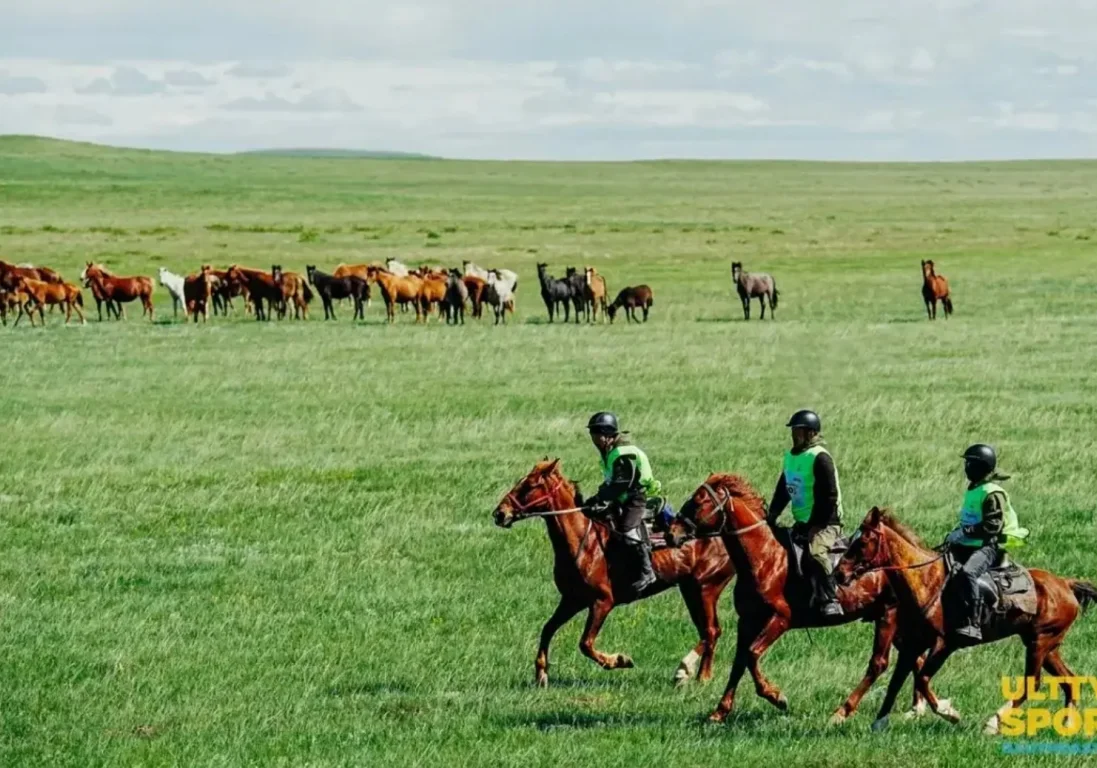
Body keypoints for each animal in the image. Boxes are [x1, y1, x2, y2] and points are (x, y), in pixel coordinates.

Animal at [495, 458, 737, 689]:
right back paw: (700, 675)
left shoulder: (602, 602)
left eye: (529, 486)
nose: (499, 513)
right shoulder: (572, 600)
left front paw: (619, 660)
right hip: (691, 591)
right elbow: (548, 629)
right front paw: (541, 674)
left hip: (705, 588)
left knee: (711, 631)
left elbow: (585, 644)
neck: (584, 541)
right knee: (709, 631)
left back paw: (688, 672)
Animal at [662, 473, 930, 724]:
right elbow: (739, 662)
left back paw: (842, 711)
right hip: (895, 621)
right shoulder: (747, 621)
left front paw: (776, 697)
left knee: (879, 664)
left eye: (699, 501)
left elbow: (751, 654)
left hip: (888, 615)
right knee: (914, 657)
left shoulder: (780, 619)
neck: (764, 558)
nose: (670, 534)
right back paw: (919, 708)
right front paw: (720, 711)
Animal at [833, 506, 1092, 732]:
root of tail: (1065, 584)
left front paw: (949, 712)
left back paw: (994, 722)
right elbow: (897, 681)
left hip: (1040, 643)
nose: (838, 574)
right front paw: (879, 722)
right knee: (1069, 680)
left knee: (1033, 682)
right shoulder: (912, 645)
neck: (927, 581)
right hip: (1045, 646)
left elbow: (922, 680)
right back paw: (1068, 723)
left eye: (862, 542)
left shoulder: (944, 645)